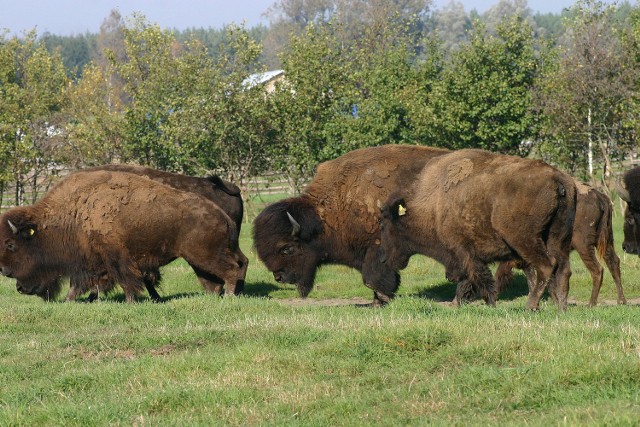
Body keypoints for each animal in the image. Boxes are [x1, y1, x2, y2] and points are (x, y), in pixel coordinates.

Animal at [0, 169, 246, 302]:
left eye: (11, 244)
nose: (5, 272)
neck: (73, 212)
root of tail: (220, 214)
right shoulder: (91, 261)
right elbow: (84, 283)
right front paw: (73, 301)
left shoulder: (115, 258)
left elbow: (125, 280)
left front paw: (130, 301)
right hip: (202, 258)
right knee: (227, 271)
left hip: (205, 255)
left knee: (231, 269)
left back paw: (229, 296)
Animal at [252, 145, 448, 306]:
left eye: (287, 248)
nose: (279, 277)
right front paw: (376, 302)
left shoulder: (376, 246)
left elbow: (372, 278)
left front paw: (383, 299)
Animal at [378, 149, 576, 310]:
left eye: (384, 225)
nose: (384, 258)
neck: (434, 204)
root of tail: (557, 177)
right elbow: (473, 279)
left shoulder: (463, 251)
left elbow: (476, 277)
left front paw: (489, 302)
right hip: (557, 238)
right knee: (563, 269)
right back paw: (561, 307)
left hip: (524, 239)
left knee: (546, 265)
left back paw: (531, 306)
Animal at [496, 182, 624, 306]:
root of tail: (600, 196)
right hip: (606, 240)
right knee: (613, 262)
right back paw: (621, 301)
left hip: (584, 245)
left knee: (597, 269)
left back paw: (591, 304)